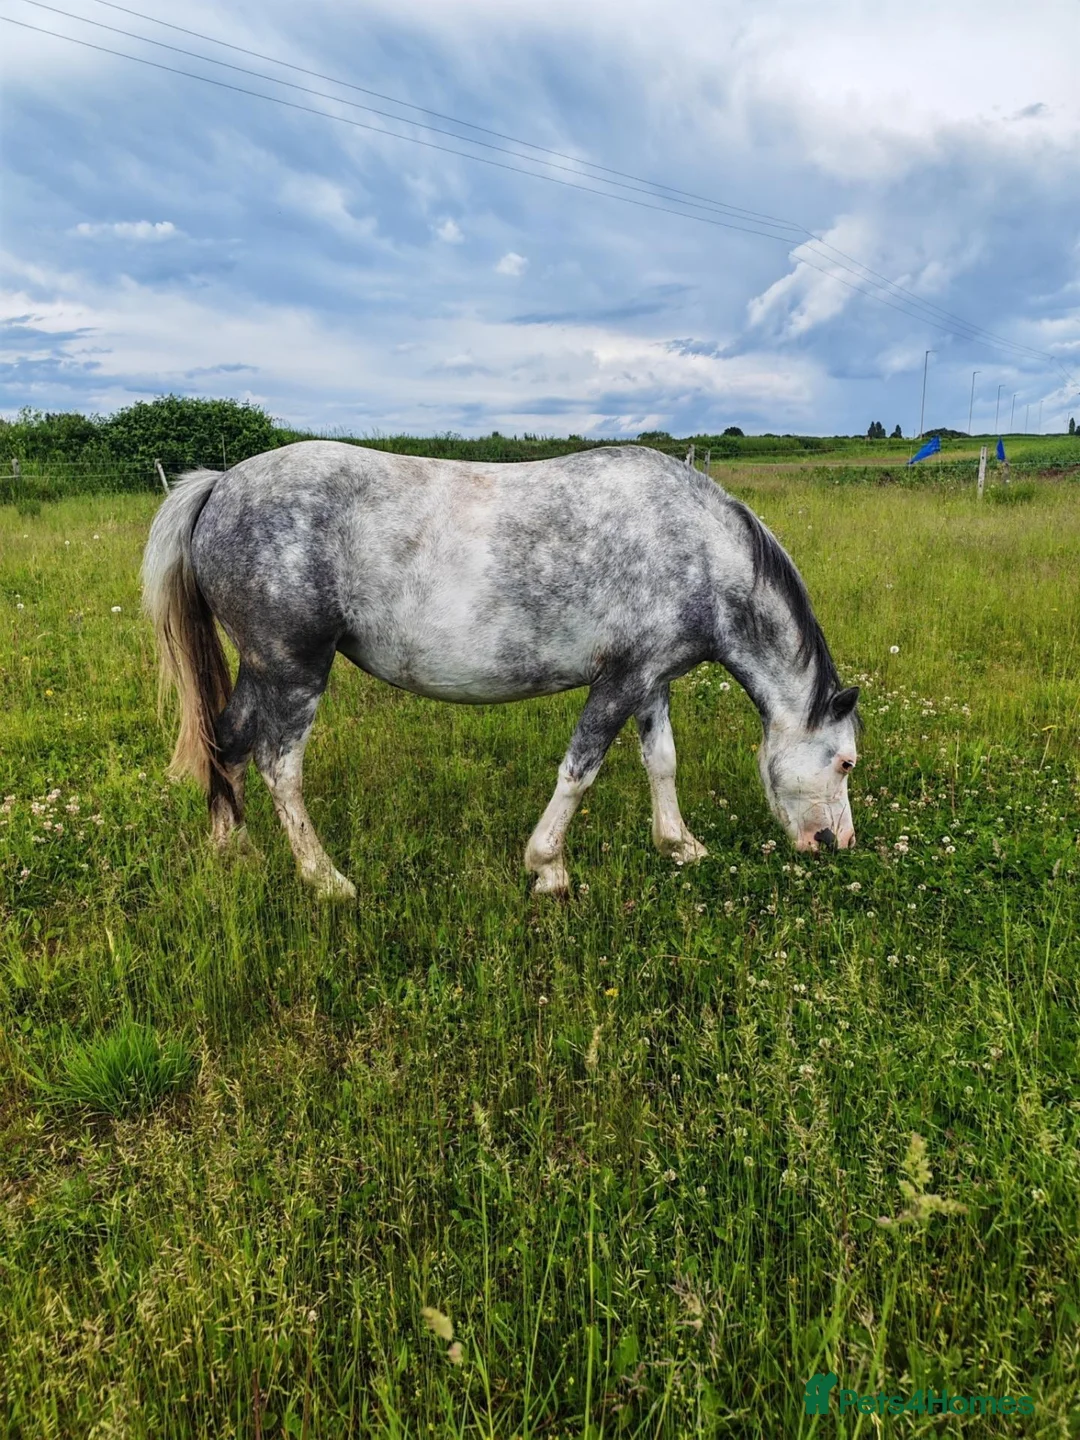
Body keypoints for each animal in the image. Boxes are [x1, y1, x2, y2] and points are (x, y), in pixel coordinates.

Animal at [141, 441, 859, 901]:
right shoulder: (621, 679)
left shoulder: (652, 679)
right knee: (279, 766)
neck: (699, 550)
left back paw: (231, 849)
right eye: (847, 762)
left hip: (260, 669)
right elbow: (580, 770)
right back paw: (327, 880)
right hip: (294, 670)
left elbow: (662, 762)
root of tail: (221, 484)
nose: (837, 842)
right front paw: (548, 867)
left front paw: (678, 844)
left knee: (227, 742)